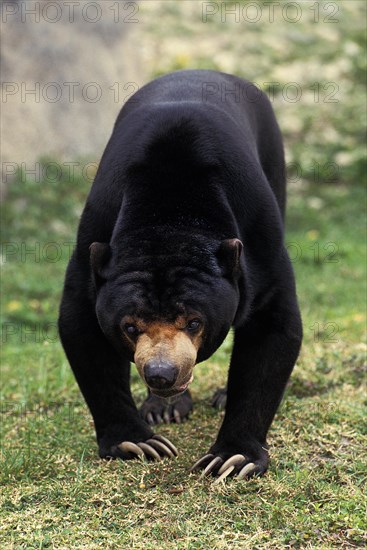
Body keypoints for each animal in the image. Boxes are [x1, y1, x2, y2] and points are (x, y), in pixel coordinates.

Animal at [59, 70, 304, 484]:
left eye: (193, 322)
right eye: (129, 326)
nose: (161, 374)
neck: (170, 217)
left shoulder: (260, 238)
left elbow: (272, 326)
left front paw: (232, 458)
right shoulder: (96, 234)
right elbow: (81, 325)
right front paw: (138, 443)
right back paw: (163, 408)